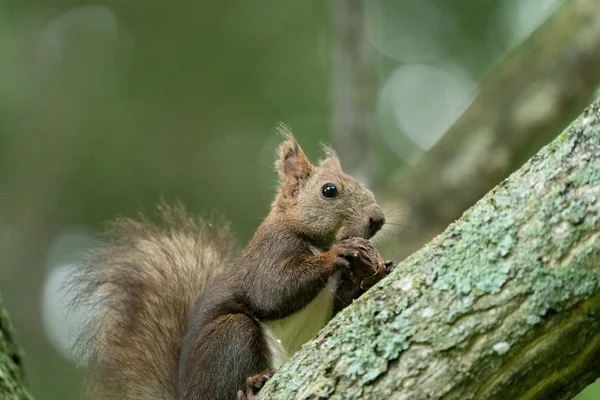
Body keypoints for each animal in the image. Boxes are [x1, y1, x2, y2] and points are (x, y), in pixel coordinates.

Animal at [69, 128, 394, 400]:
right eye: (329, 190)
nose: (378, 218)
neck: (308, 236)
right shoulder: (269, 253)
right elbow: (273, 292)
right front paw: (340, 252)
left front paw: (373, 272)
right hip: (230, 337)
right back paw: (252, 385)